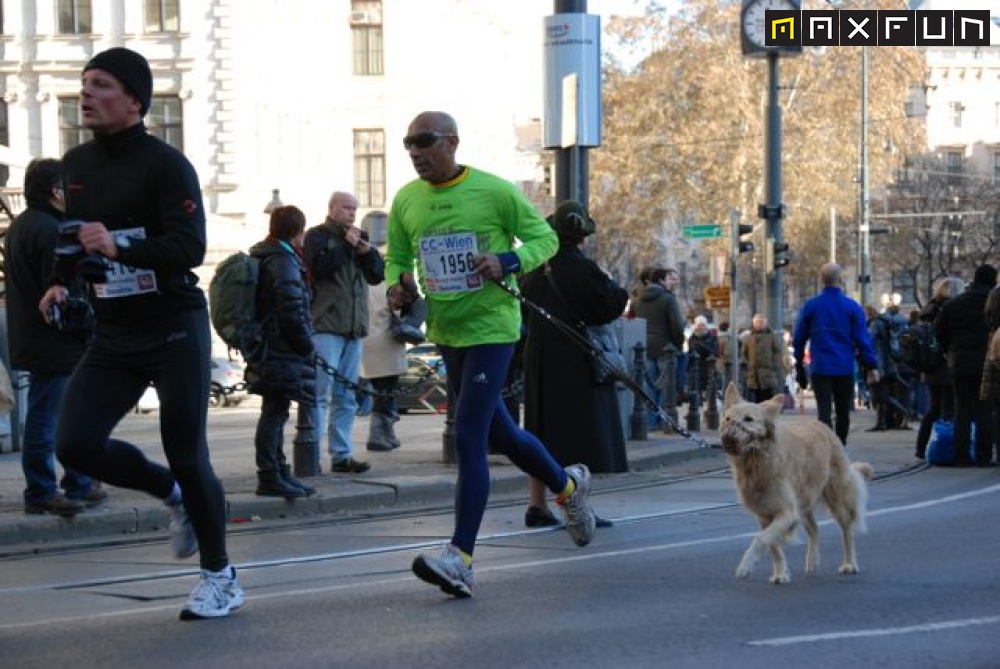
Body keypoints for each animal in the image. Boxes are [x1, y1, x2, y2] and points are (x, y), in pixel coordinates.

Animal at [720, 384, 876, 580]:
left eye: (748, 419)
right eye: (728, 418)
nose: (728, 435)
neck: (756, 462)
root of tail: (822, 424)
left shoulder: (787, 513)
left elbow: (761, 539)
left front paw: (745, 566)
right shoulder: (764, 516)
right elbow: (773, 546)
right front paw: (780, 574)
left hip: (836, 499)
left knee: (847, 530)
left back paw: (849, 564)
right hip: (804, 504)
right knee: (815, 530)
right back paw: (811, 564)